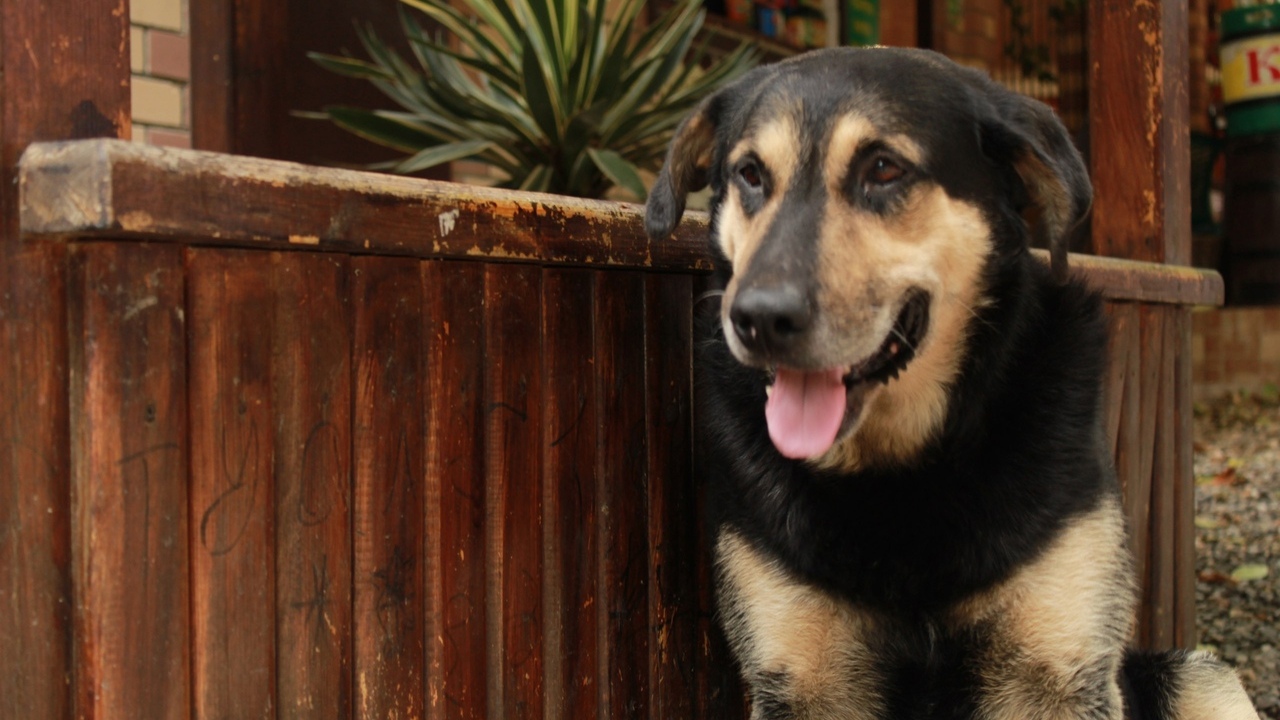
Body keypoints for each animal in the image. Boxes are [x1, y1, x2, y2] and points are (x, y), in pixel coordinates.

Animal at [645, 47, 1254, 712]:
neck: (903, 468)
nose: (757, 319)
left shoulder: (1059, 672)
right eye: (751, 175)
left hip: (1201, 677)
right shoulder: (801, 680)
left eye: (884, 169)